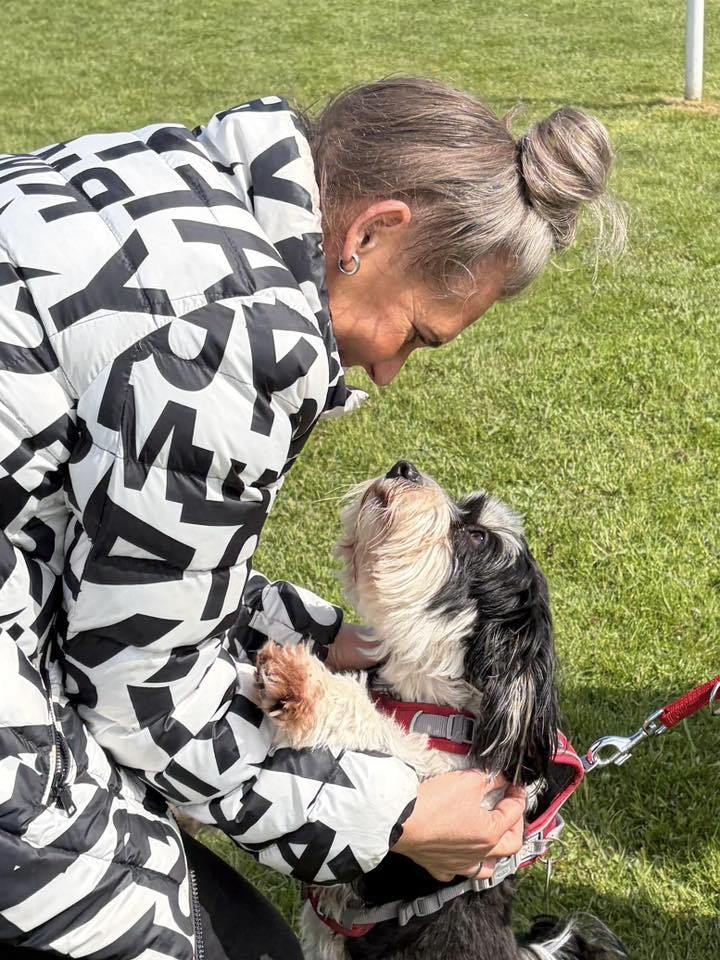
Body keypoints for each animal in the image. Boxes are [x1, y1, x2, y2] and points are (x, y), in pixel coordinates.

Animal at [255, 461, 628, 960]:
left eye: (477, 536)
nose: (404, 467)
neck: (423, 693)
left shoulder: (456, 778)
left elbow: (389, 734)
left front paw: (310, 686)